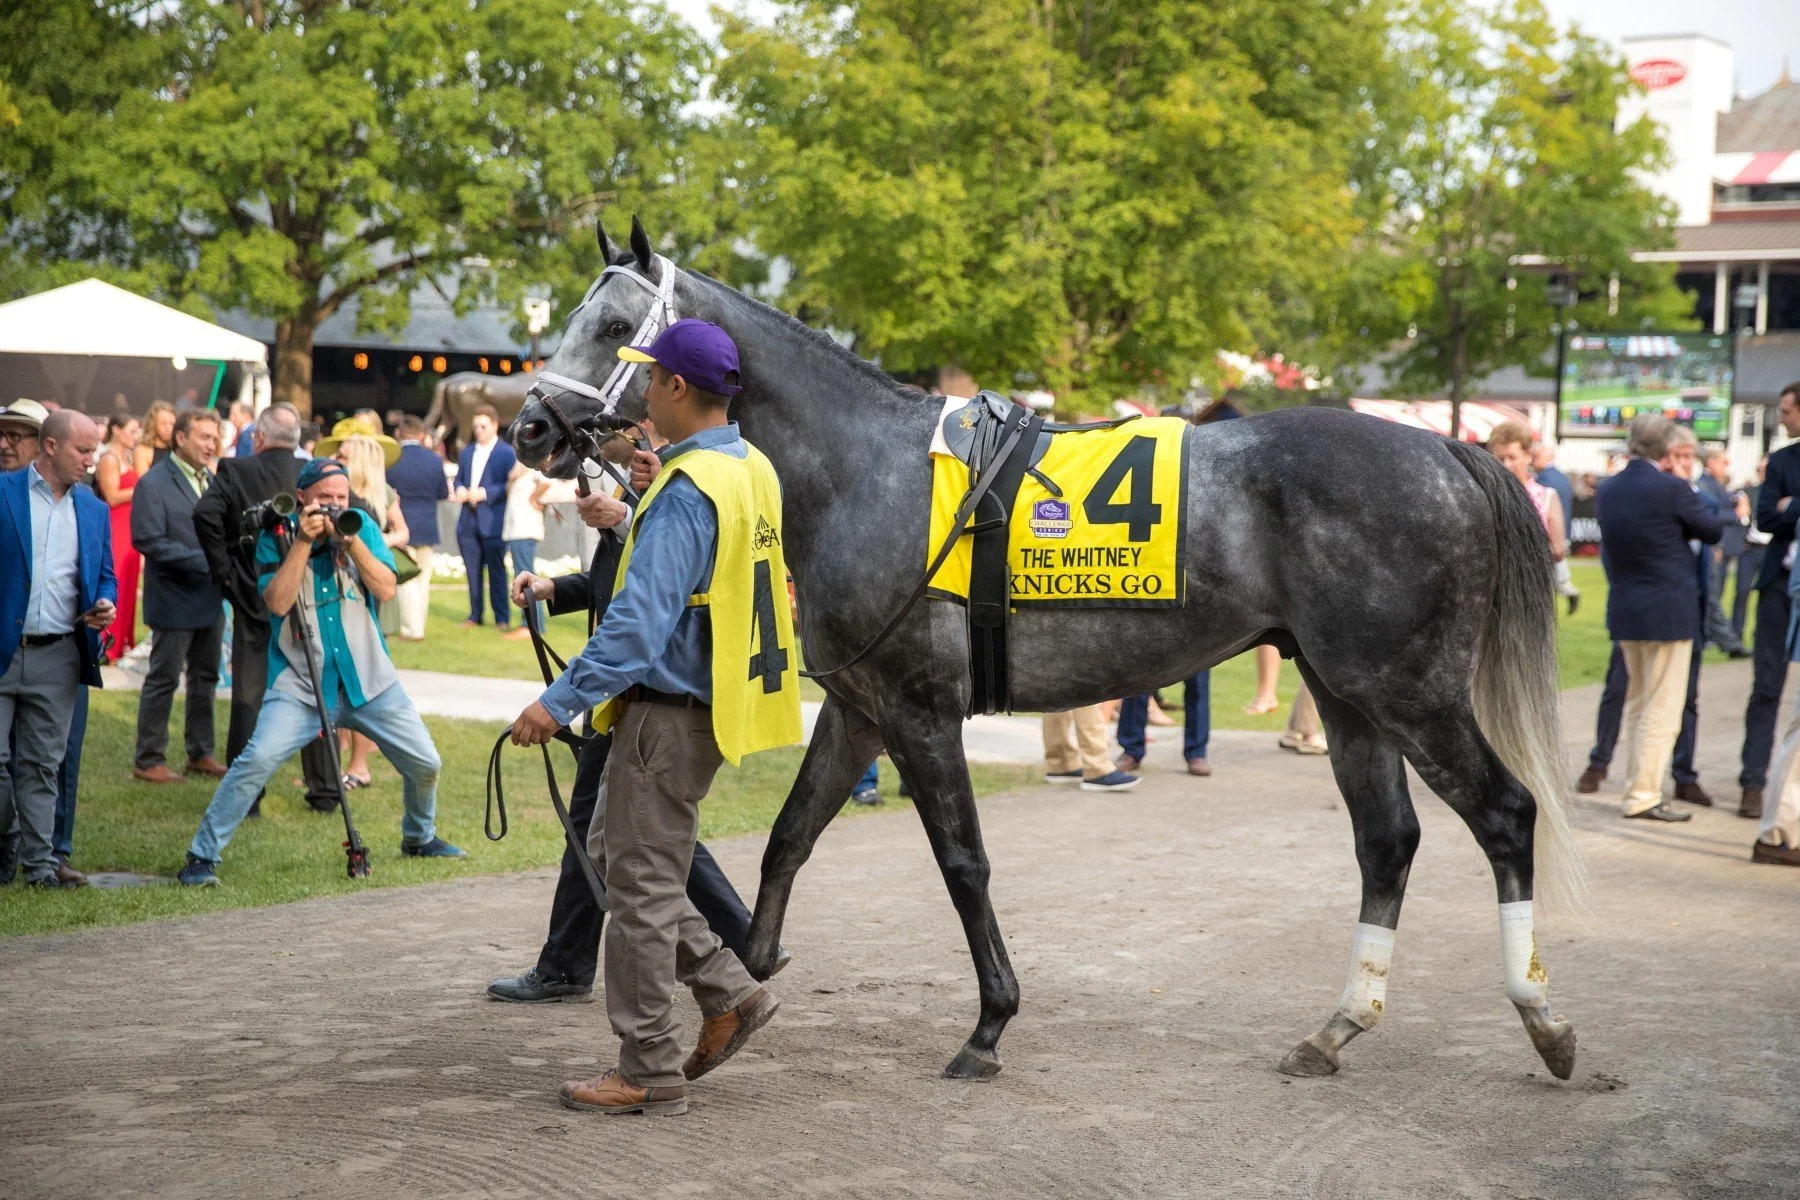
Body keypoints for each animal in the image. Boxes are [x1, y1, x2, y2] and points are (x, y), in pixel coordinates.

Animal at [509, 216, 1583, 1085]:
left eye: (612, 324)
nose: (528, 427)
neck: (863, 472)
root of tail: (1446, 450)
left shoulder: (920, 711)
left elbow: (963, 862)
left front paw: (990, 1026)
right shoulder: (860, 707)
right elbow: (789, 837)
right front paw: (749, 971)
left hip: (1411, 691)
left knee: (1503, 813)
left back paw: (1545, 1019)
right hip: (1348, 692)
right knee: (1386, 840)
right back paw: (1337, 1027)